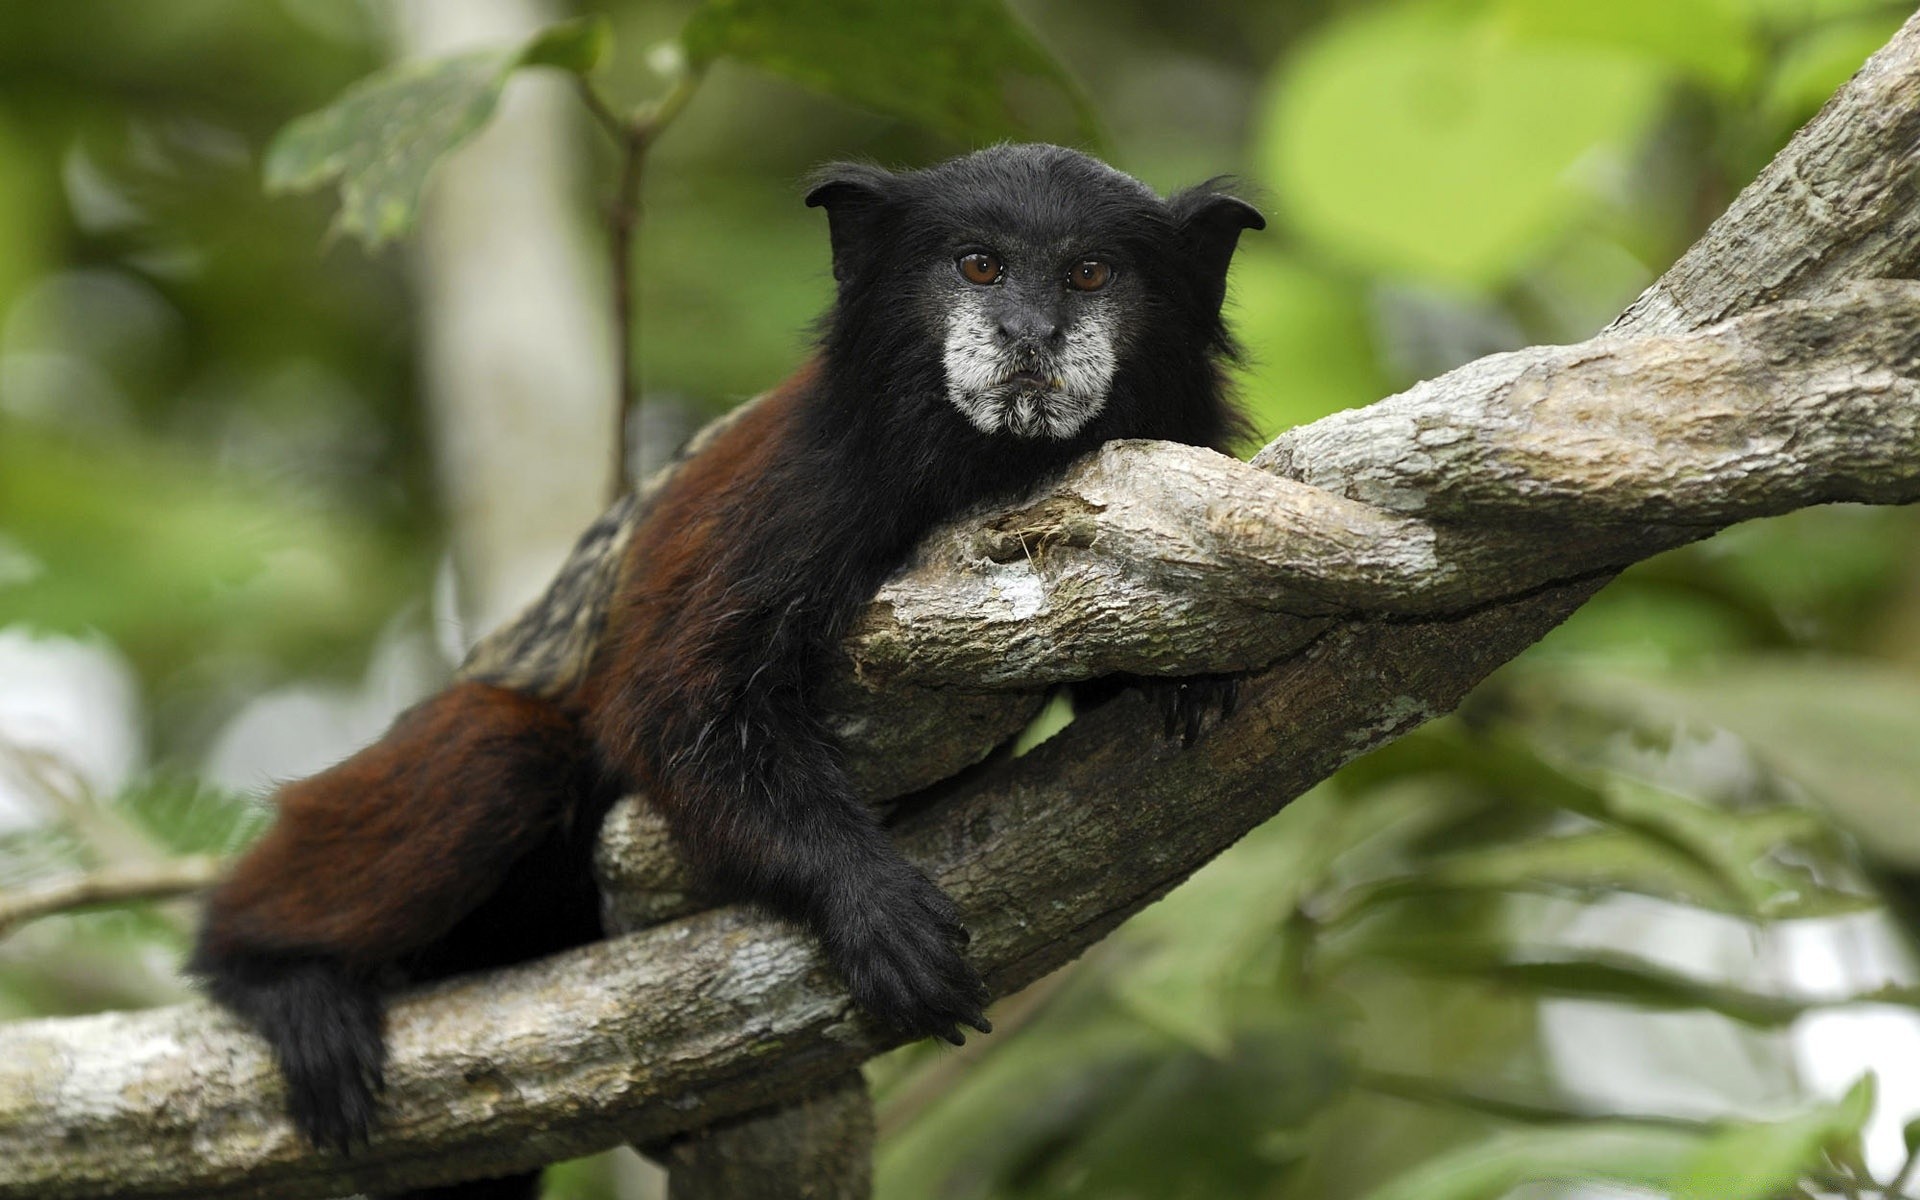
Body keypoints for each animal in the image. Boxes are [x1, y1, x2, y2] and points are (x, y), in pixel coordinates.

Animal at [194, 140, 1259, 1190]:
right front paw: (866, 903)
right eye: (979, 267)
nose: (1029, 335)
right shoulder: (797, 490)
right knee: (502, 753)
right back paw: (270, 969)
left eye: (1090, 274)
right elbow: (668, 707)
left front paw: (1188, 680)